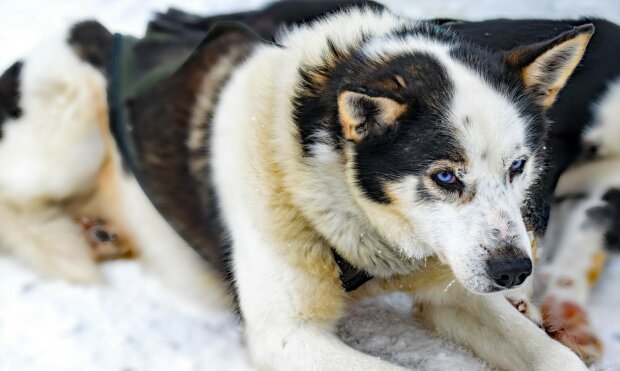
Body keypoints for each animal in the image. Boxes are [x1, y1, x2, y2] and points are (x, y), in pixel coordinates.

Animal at [0, 1, 612, 370]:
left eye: (518, 166)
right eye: (445, 176)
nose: (515, 271)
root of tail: (92, 31)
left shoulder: (454, 286)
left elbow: (556, 357)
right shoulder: (287, 333)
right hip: (71, 139)